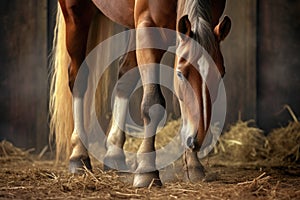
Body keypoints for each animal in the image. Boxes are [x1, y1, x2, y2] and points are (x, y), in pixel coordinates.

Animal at [49, 0, 232, 188]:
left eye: (221, 73)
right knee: (79, 79)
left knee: (125, 77)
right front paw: (146, 170)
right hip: (75, 13)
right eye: (180, 74)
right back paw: (79, 154)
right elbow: (153, 104)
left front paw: (193, 163)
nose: (197, 141)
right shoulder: (147, 28)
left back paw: (114, 152)